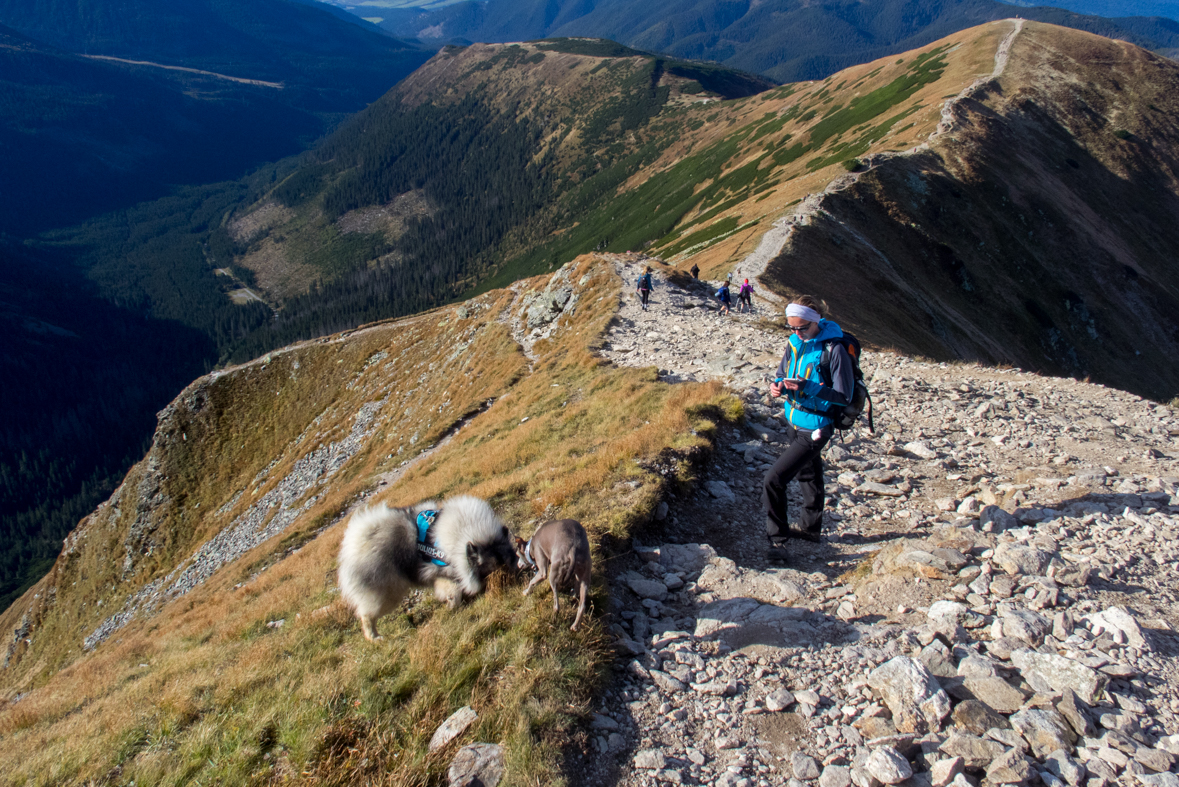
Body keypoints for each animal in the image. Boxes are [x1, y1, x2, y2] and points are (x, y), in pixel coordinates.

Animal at [334, 497, 514, 640]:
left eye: (507, 562)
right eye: (492, 570)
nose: (509, 582)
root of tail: (354, 544)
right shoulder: (440, 572)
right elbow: (454, 591)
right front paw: (453, 605)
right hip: (387, 594)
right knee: (366, 616)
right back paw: (375, 637)